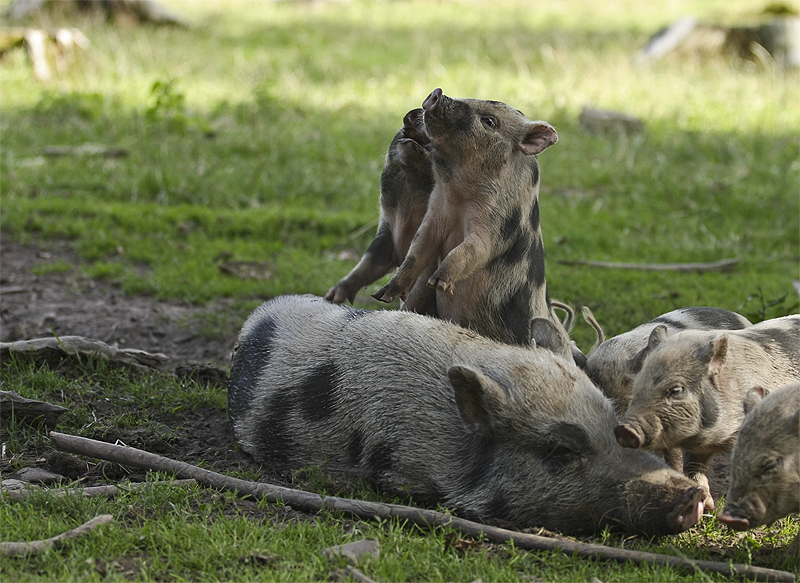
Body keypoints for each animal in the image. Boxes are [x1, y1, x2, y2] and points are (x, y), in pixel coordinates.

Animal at [372, 87, 572, 356]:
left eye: (489, 121)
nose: (437, 93)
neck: (458, 195)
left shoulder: (497, 225)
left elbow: (472, 249)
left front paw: (439, 282)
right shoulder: (434, 216)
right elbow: (417, 251)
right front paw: (382, 295)